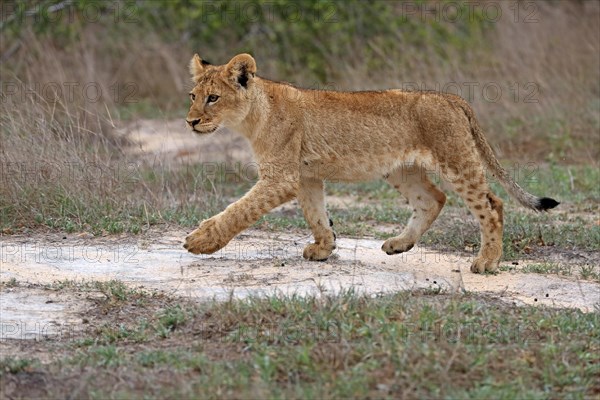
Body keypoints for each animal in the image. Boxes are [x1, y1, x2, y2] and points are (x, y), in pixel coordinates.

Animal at [183, 53, 556, 274]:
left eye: (213, 98)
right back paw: (399, 244)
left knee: (491, 205)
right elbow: (316, 215)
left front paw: (200, 241)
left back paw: (486, 261)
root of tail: (450, 97)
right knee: (433, 199)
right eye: (193, 96)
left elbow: (238, 210)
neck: (252, 117)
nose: (190, 122)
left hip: (456, 159)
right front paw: (324, 248)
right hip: (402, 169)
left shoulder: (281, 178)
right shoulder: (305, 177)